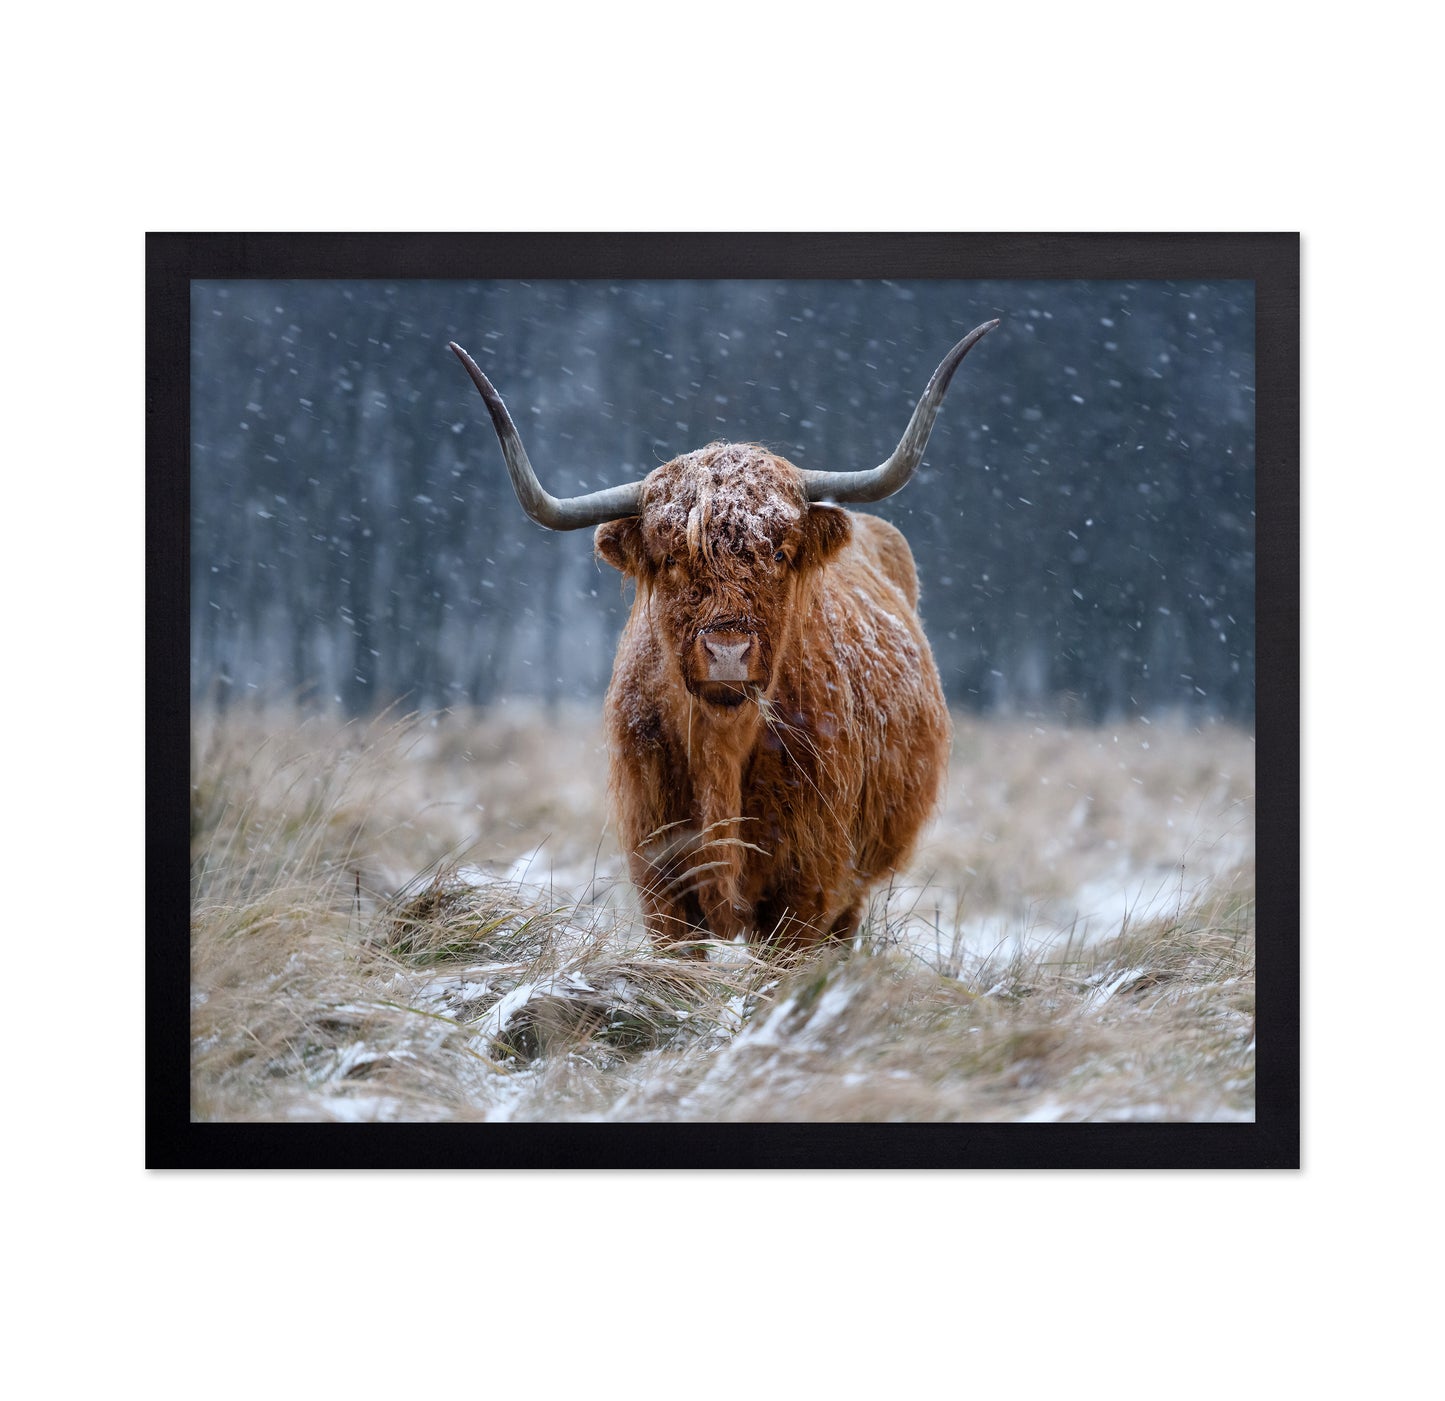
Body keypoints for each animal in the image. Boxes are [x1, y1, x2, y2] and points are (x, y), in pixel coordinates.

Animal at [450, 321, 998, 955]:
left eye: (780, 554)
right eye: (670, 560)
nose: (728, 653)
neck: (722, 749)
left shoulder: (809, 887)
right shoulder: (660, 879)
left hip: (854, 889)